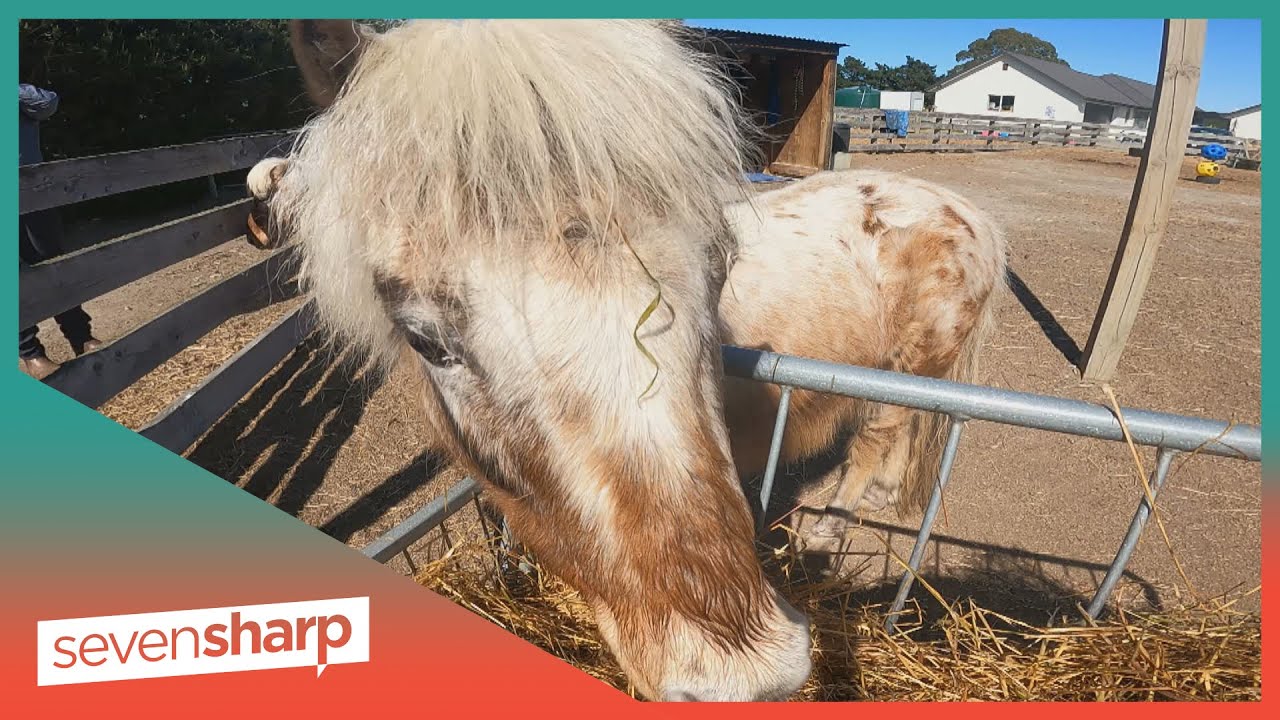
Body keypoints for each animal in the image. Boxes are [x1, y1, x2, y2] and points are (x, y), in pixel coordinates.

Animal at [247, 19, 1006, 701]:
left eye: (716, 277)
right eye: (424, 340)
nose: (743, 681)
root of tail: (968, 213)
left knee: (873, 445)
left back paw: (822, 538)